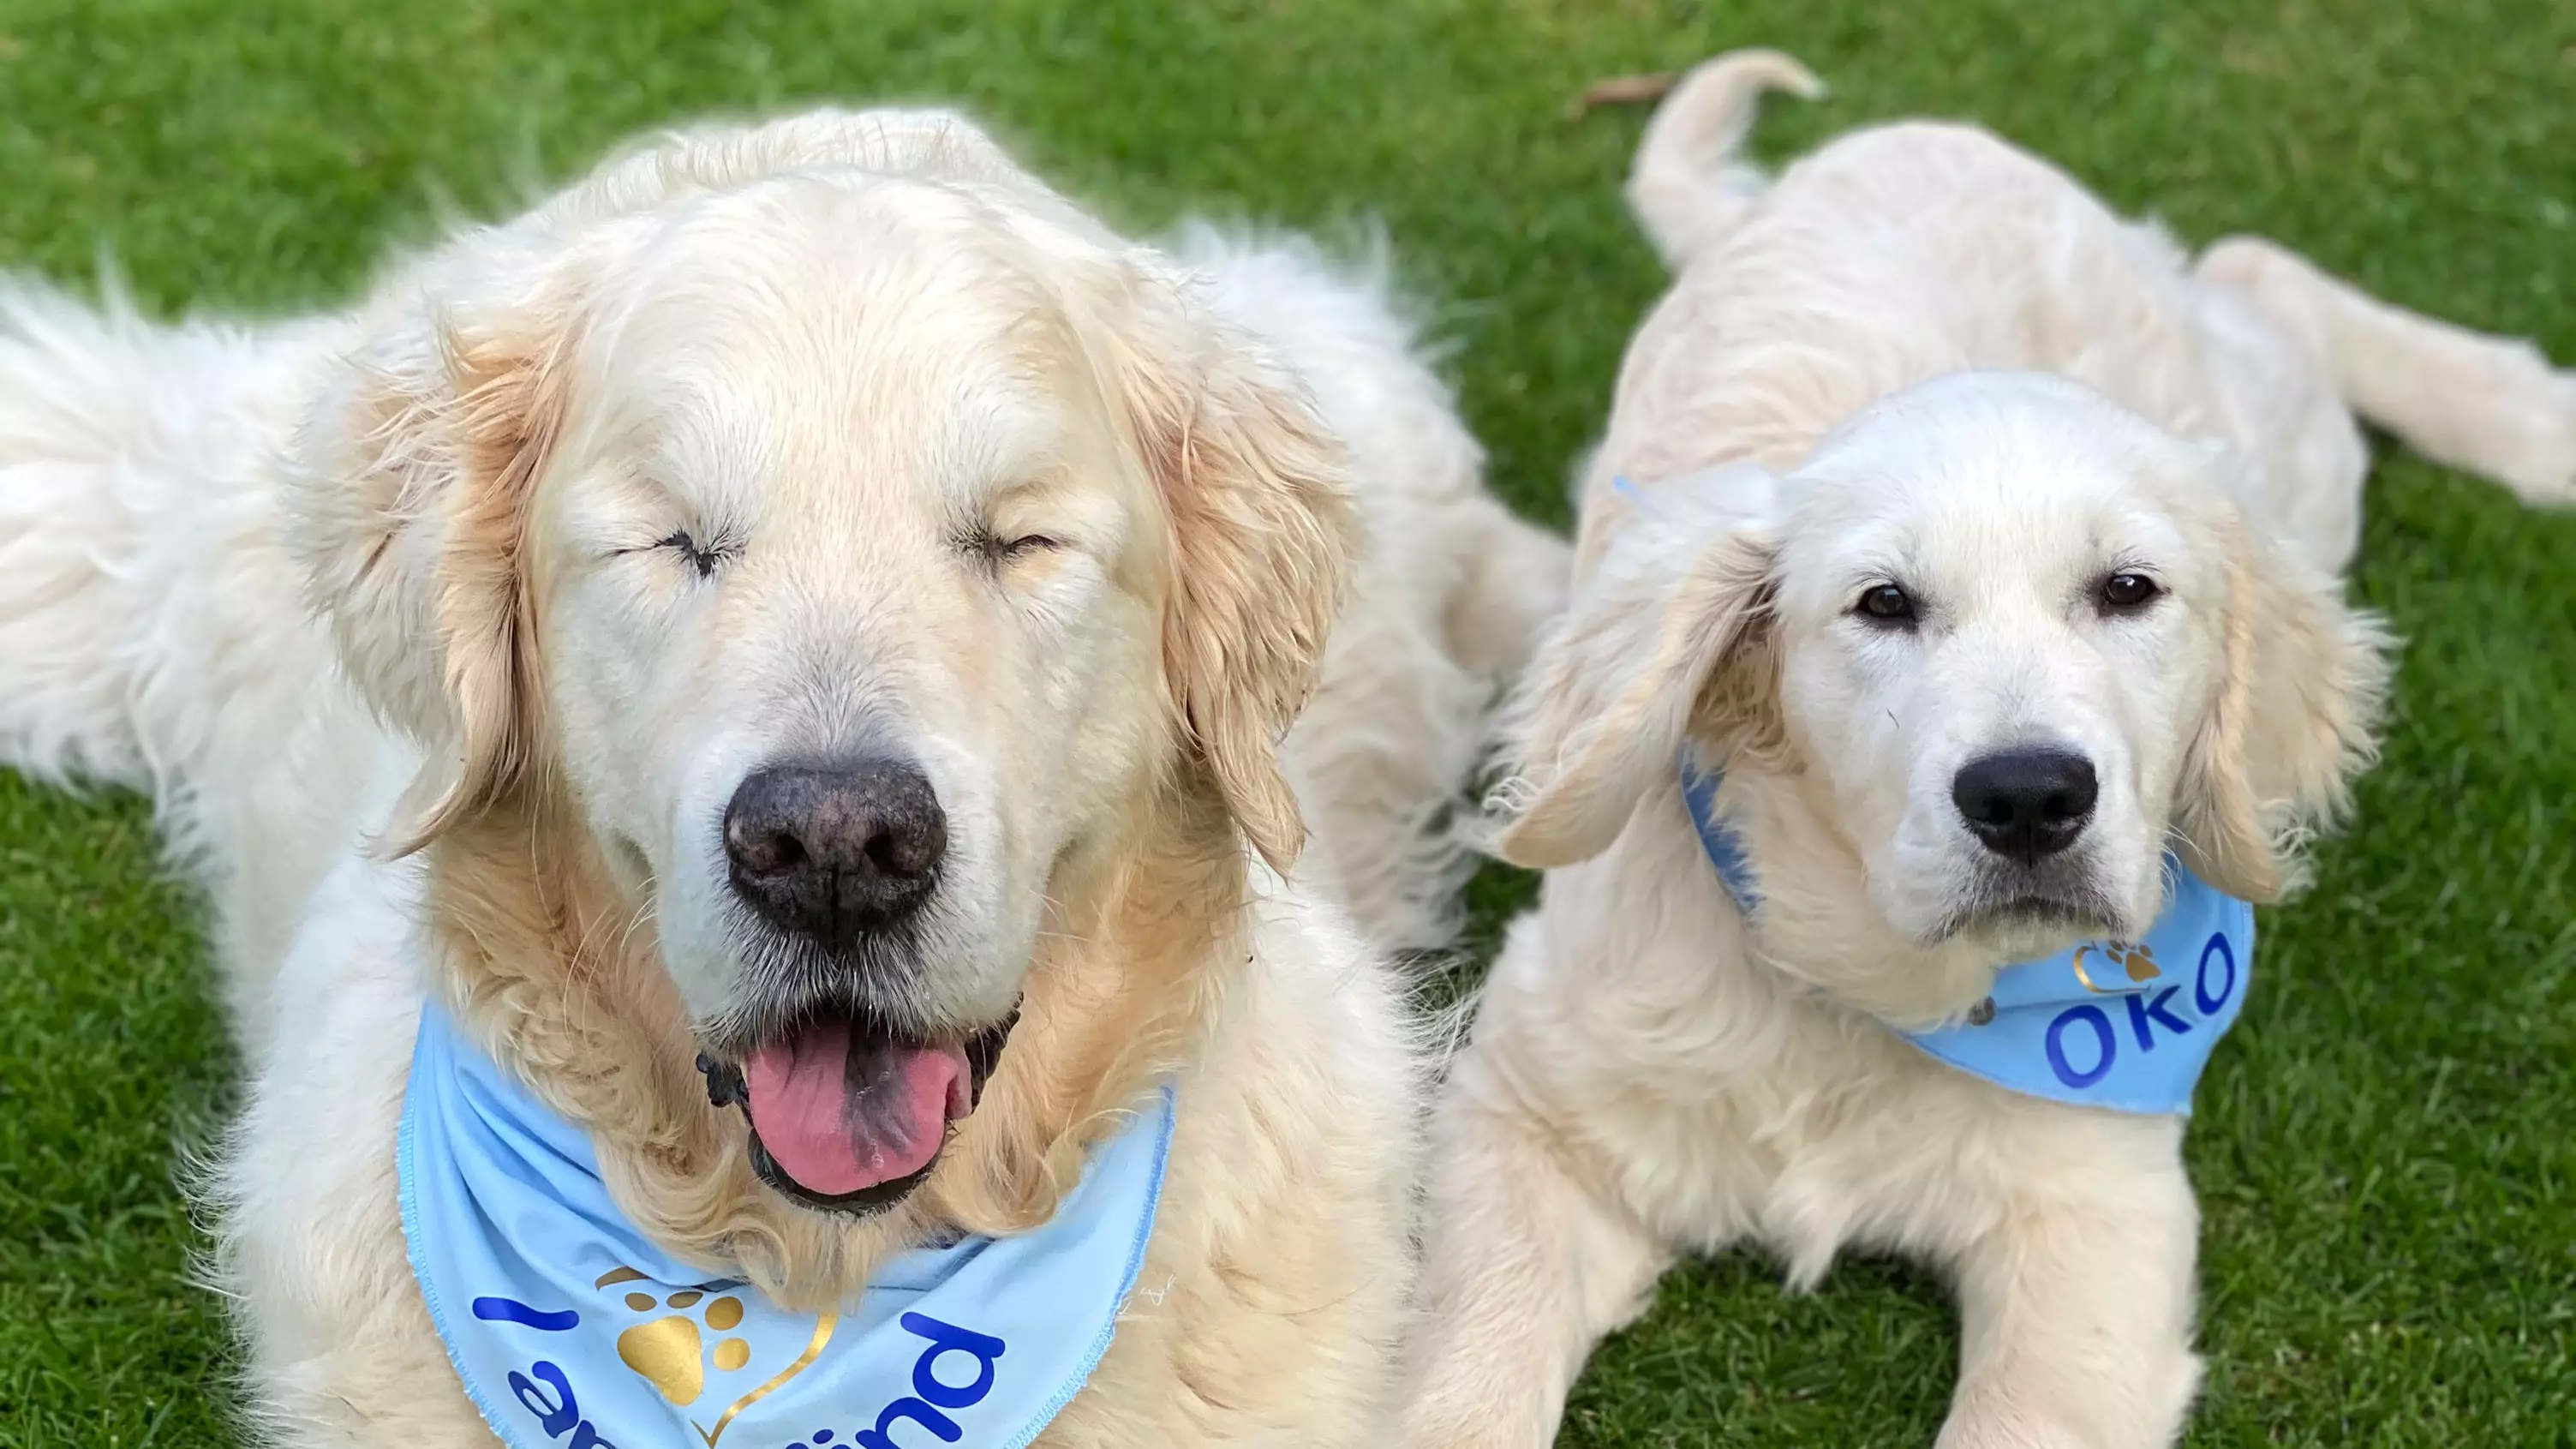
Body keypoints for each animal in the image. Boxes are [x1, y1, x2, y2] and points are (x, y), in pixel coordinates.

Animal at [1411, 48, 2576, 1443]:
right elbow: (1455, 1376)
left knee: (2258, 272)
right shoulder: (1525, 1113)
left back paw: (2535, 424)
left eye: (2128, 590)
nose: (2027, 797)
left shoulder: (2093, 1216)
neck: (1867, 993)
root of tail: (1890, 139)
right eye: (1881, 604)